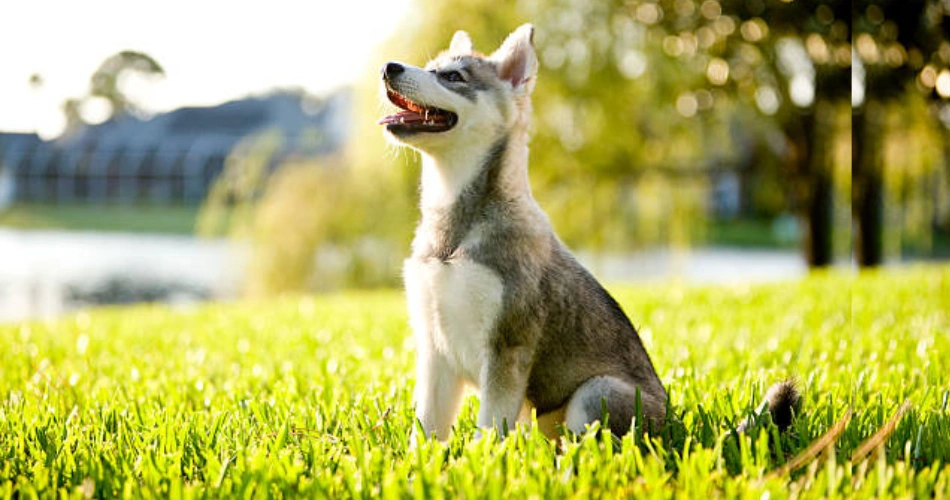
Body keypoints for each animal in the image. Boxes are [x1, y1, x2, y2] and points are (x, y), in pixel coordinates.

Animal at [380, 23, 796, 440]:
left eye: (453, 76)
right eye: (431, 66)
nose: (389, 66)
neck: (454, 230)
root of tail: (677, 429)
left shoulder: (506, 349)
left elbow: (489, 431)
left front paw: (483, 456)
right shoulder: (434, 351)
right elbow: (425, 430)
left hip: (596, 393)